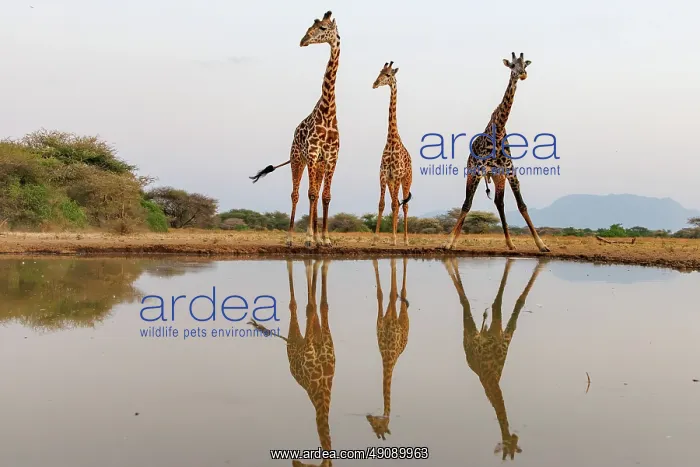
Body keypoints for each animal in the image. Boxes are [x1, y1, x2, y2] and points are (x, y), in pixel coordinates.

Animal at [249, 11, 341, 249]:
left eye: (322, 28)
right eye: (311, 26)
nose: (303, 40)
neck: (328, 112)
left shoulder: (331, 157)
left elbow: (325, 196)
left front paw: (325, 239)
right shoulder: (312, 154)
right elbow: (311, 194)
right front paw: (309, 238)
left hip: (316, 164)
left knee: (314, 194)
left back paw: (316, 237)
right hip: (298, 159)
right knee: (296, 194)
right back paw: (290, 238)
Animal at [443, 52, 550, 253]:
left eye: (525, 65)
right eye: (512, 65)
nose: (522, 74)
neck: (499, 131)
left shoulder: (510, 172)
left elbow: (522, 206)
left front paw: (542, 244)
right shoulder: (478, 171)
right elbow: (467, 205)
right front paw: (448, 242)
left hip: (498, 177)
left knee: (499, 203)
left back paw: (510, 243)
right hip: (471, 173)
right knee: (466, 202)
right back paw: (453, 241)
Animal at [443, 257, 547, 460]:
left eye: (515, 445)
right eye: (507, 445)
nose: (514, 437)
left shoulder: (501, 330)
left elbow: (510, 303)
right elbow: (504, 303)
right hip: (469, 330)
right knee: (465, 302)